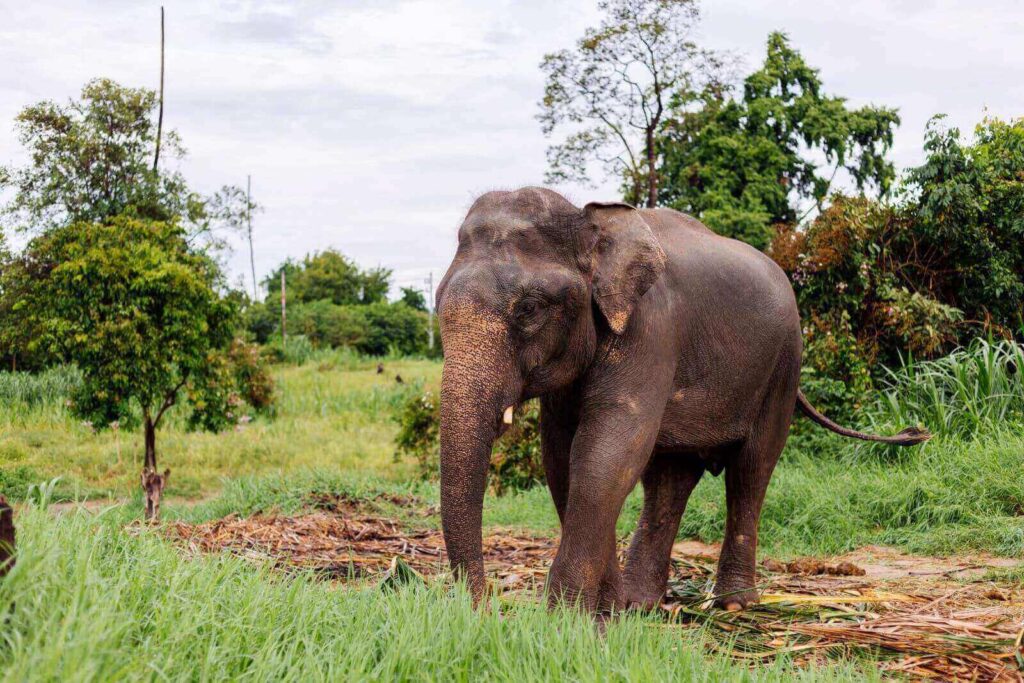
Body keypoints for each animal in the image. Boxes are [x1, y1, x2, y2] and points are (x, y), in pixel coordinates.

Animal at [432, 187, 929, 614]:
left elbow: (605, 452)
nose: (483, 608)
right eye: (437, 303)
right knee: (670, 479)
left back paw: (733, 604)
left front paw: (564, 618)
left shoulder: (651, 330)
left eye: (530, 309)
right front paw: (604, 610)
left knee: (751, 470)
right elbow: (562, 459)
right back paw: (640, 603)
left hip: (783, 366)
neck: (591, 220)